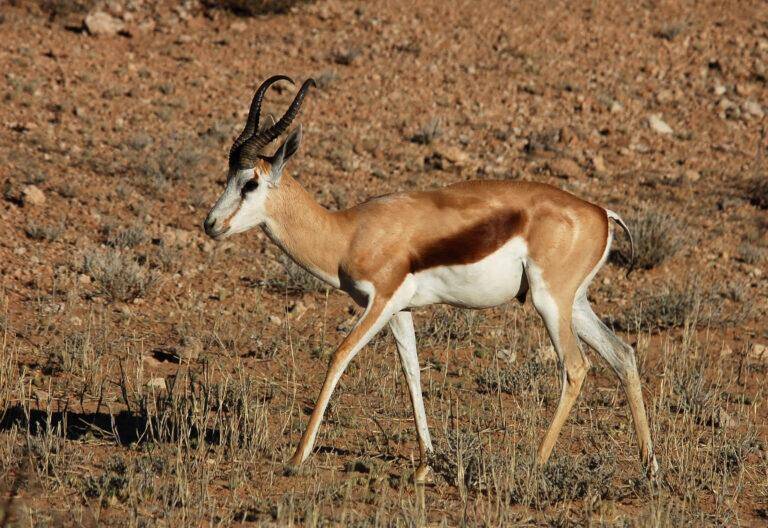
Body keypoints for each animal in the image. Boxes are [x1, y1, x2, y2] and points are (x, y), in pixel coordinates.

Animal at [203, 76, 658, 481]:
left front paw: (297, 457)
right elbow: (412, 372)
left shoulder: (381, 300)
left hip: (550, 303)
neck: (348, 233)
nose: (210, 224)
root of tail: (601, 213)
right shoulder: (400, 310)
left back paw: (537, 463)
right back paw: (649, 468)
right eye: (227, 178)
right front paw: (425, 466)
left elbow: (339, 356)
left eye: (250, 182)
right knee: (623, 355)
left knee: (576, 366)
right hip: (573, 304)